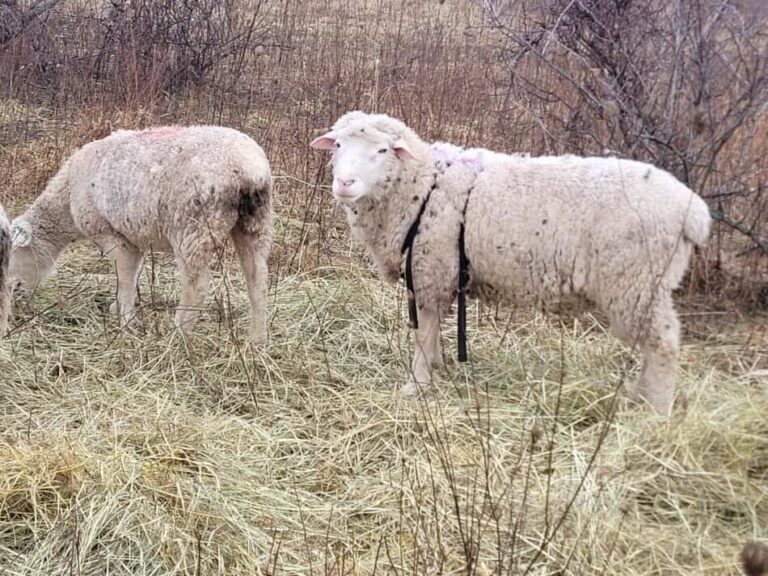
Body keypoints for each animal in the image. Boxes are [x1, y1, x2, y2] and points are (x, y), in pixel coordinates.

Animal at [9, 126, 272, 342]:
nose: (15, 295)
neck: (66, 201)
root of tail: (247, 170)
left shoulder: (108, 232)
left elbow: (124, 276)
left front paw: (125, 321)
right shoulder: (133, 237)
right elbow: (133, 273)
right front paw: (118, 309)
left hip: (193, 226)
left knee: (197, 286)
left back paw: (177, 337)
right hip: (256, 223)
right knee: (258, 279)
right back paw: (257, 342)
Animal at [308, 110, 712, 414]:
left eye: (382, 150)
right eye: (338, 145)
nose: (344, 184)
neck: (423, 184)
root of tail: (694, 211)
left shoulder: (432, 269)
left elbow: (423, 331)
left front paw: (418, 383)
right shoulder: (439, 274)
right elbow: (433, 330)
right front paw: (436, 366)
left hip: (636, 281)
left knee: (663, 344)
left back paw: (654, 409)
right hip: (647, 284)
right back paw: (639, 397)